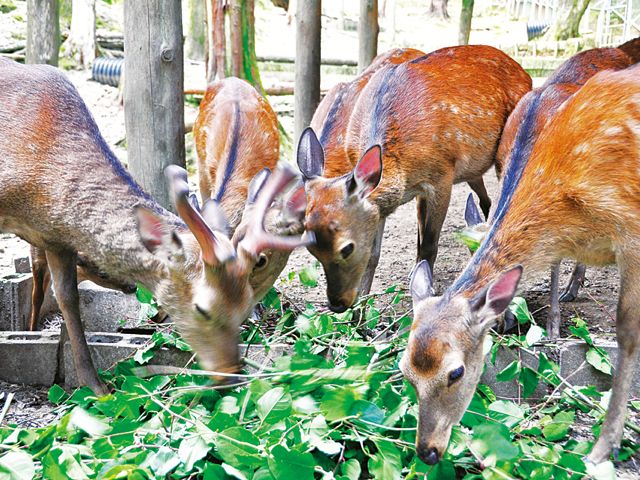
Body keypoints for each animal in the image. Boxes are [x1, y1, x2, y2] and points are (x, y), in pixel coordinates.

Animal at [0, 58, 312, 394]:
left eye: (243, 305)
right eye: (202, 308)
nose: (230, 374)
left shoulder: (55, 237)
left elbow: (68, 298)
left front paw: (96, 387)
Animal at [298, 46, 532, 312]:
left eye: (347, 247)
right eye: (310, 248)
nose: (337, 304)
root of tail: (523, 70)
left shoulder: (442, 175)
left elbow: (430, 244)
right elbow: (374, 255)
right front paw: (362, 315)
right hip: (472, 168)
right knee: (484, 199)